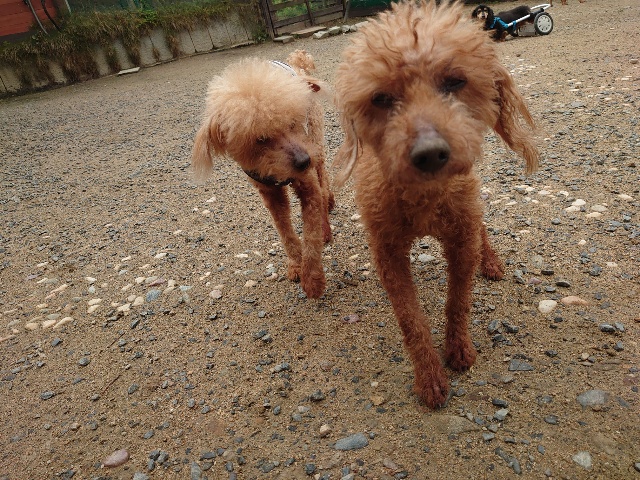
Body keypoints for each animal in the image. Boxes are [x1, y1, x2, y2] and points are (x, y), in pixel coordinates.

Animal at [192, 50, 334, 299]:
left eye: (293, 123)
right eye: (260, 139)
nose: (303, 161)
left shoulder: (308, 185)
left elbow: (311, 233)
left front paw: (313, 280)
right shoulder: (270, 194)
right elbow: (286, 233)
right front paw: (296, 265)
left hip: (316, 142)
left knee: (324, 186)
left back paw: (327, 224)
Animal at [334, 0, 539, 408]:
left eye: (455, 81)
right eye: (380, 99)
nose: (430, 153)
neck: (424, 198)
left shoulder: (460, 238)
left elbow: (458, 301)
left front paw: (459, 350)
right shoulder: (388, 253)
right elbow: (411, 321)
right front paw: (429, 377)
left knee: (481, 226)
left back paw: (491, 261)